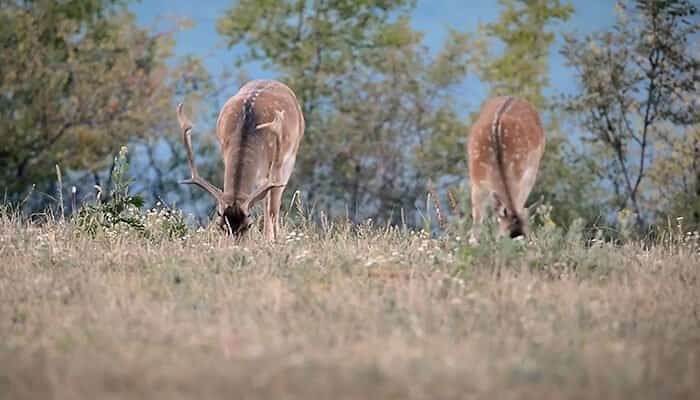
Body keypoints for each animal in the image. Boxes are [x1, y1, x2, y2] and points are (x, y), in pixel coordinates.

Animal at [178, 79, 304, 239]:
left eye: (248, 225)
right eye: (220, 226)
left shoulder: (273, 166)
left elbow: (270, 206)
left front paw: (270, 240)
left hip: (289, 157)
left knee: (273, 204)